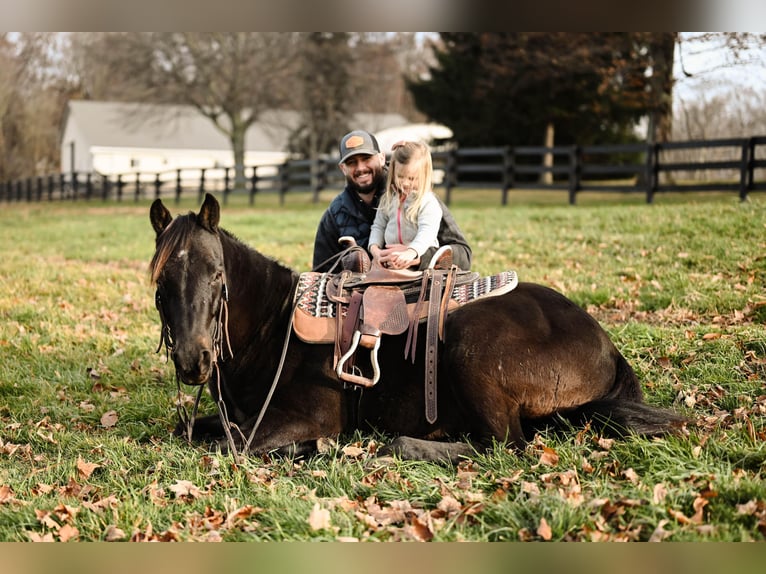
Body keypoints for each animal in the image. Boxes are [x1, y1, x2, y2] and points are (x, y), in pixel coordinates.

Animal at [150, 194, 688, 464]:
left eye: (216, 276)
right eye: (161, 283)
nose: (193, 361)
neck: (273, 329)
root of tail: (606, 345)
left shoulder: (305, 417)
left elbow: (227, 445)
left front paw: (311, 447)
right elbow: (188, 428)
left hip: (470, 350)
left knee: (505, 446)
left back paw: (395, 446)